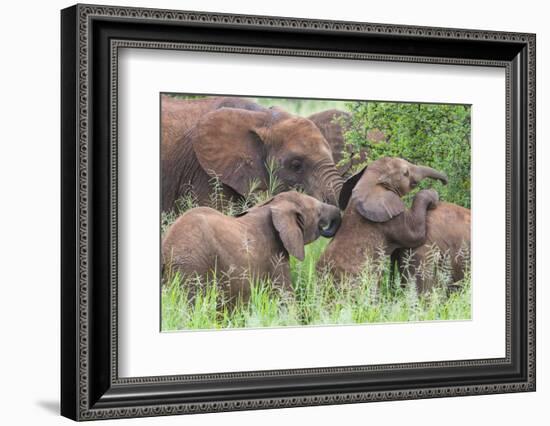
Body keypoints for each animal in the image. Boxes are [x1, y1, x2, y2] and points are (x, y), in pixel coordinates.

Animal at [316, 156, 450, 280]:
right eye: (405, 173)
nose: (445, 182)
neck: (370, 181)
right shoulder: (391, 219)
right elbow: (416, 235)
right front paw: (433, 195)